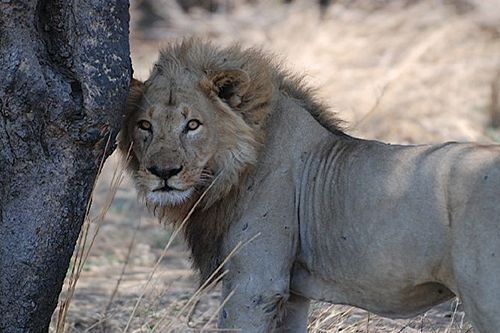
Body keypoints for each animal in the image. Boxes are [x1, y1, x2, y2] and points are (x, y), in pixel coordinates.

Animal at [118, 38, 500, 330]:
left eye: (193, 125)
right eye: (144, 125)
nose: (163, 172)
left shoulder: (256, 283)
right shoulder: (293, 293)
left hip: (485, 299)